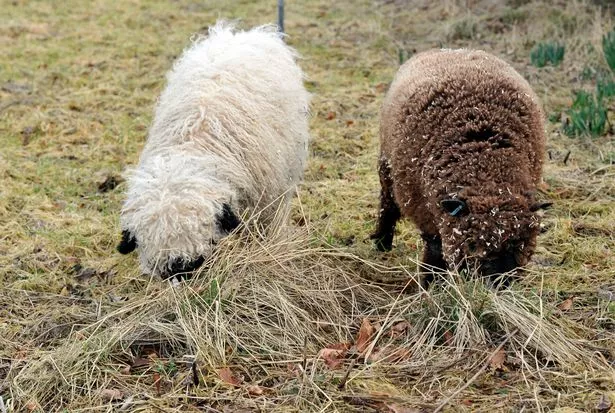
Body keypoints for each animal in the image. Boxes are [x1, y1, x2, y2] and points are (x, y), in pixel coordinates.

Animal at [370, 48, 552, 284]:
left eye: (522, 244)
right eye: (473, 245)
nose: (500, 284)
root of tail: (446, 49)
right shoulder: (426, 212)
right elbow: (435, 249)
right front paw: (430, 283)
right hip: (386, 164)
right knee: (388, 203)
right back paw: (382, 242)